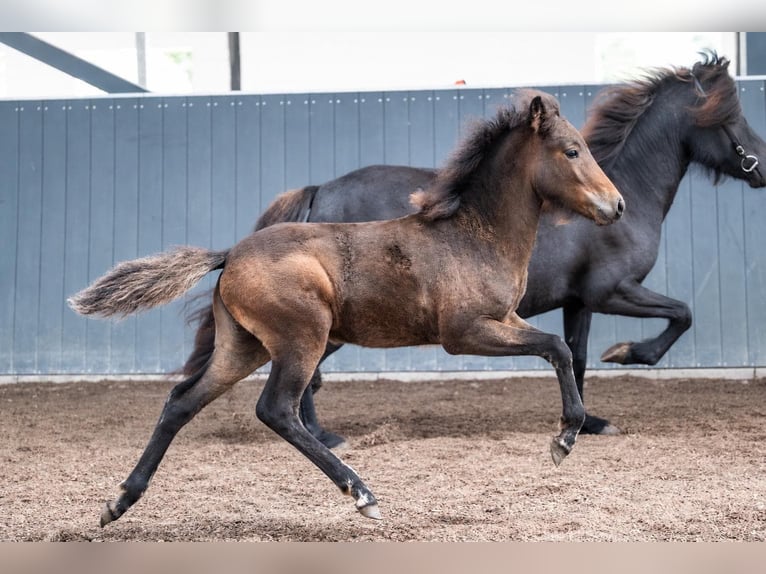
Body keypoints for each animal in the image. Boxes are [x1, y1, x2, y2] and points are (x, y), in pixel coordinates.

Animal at [69, 91, 624, 524]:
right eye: (572, 150)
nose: (616, 206)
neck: (472, 236)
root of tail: (229, 254)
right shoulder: (465, 332)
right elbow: (557, 347)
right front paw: (565, 439)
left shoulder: (506, 319)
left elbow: (559, 350)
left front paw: (571, 433)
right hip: (302, 339)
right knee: (276, 408)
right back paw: (362, 493)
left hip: (243, 348)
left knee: (182, 401)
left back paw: (119, 502)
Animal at [183, 51, 766, 446]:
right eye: (731, 116)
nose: (761, 166)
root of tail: (321, 189)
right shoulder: (613, 291)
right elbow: (681, 314)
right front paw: (629, 355)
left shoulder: (579, 301)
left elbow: (576, 355)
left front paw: (588, 420)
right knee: (304, 375)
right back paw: (323, 435)